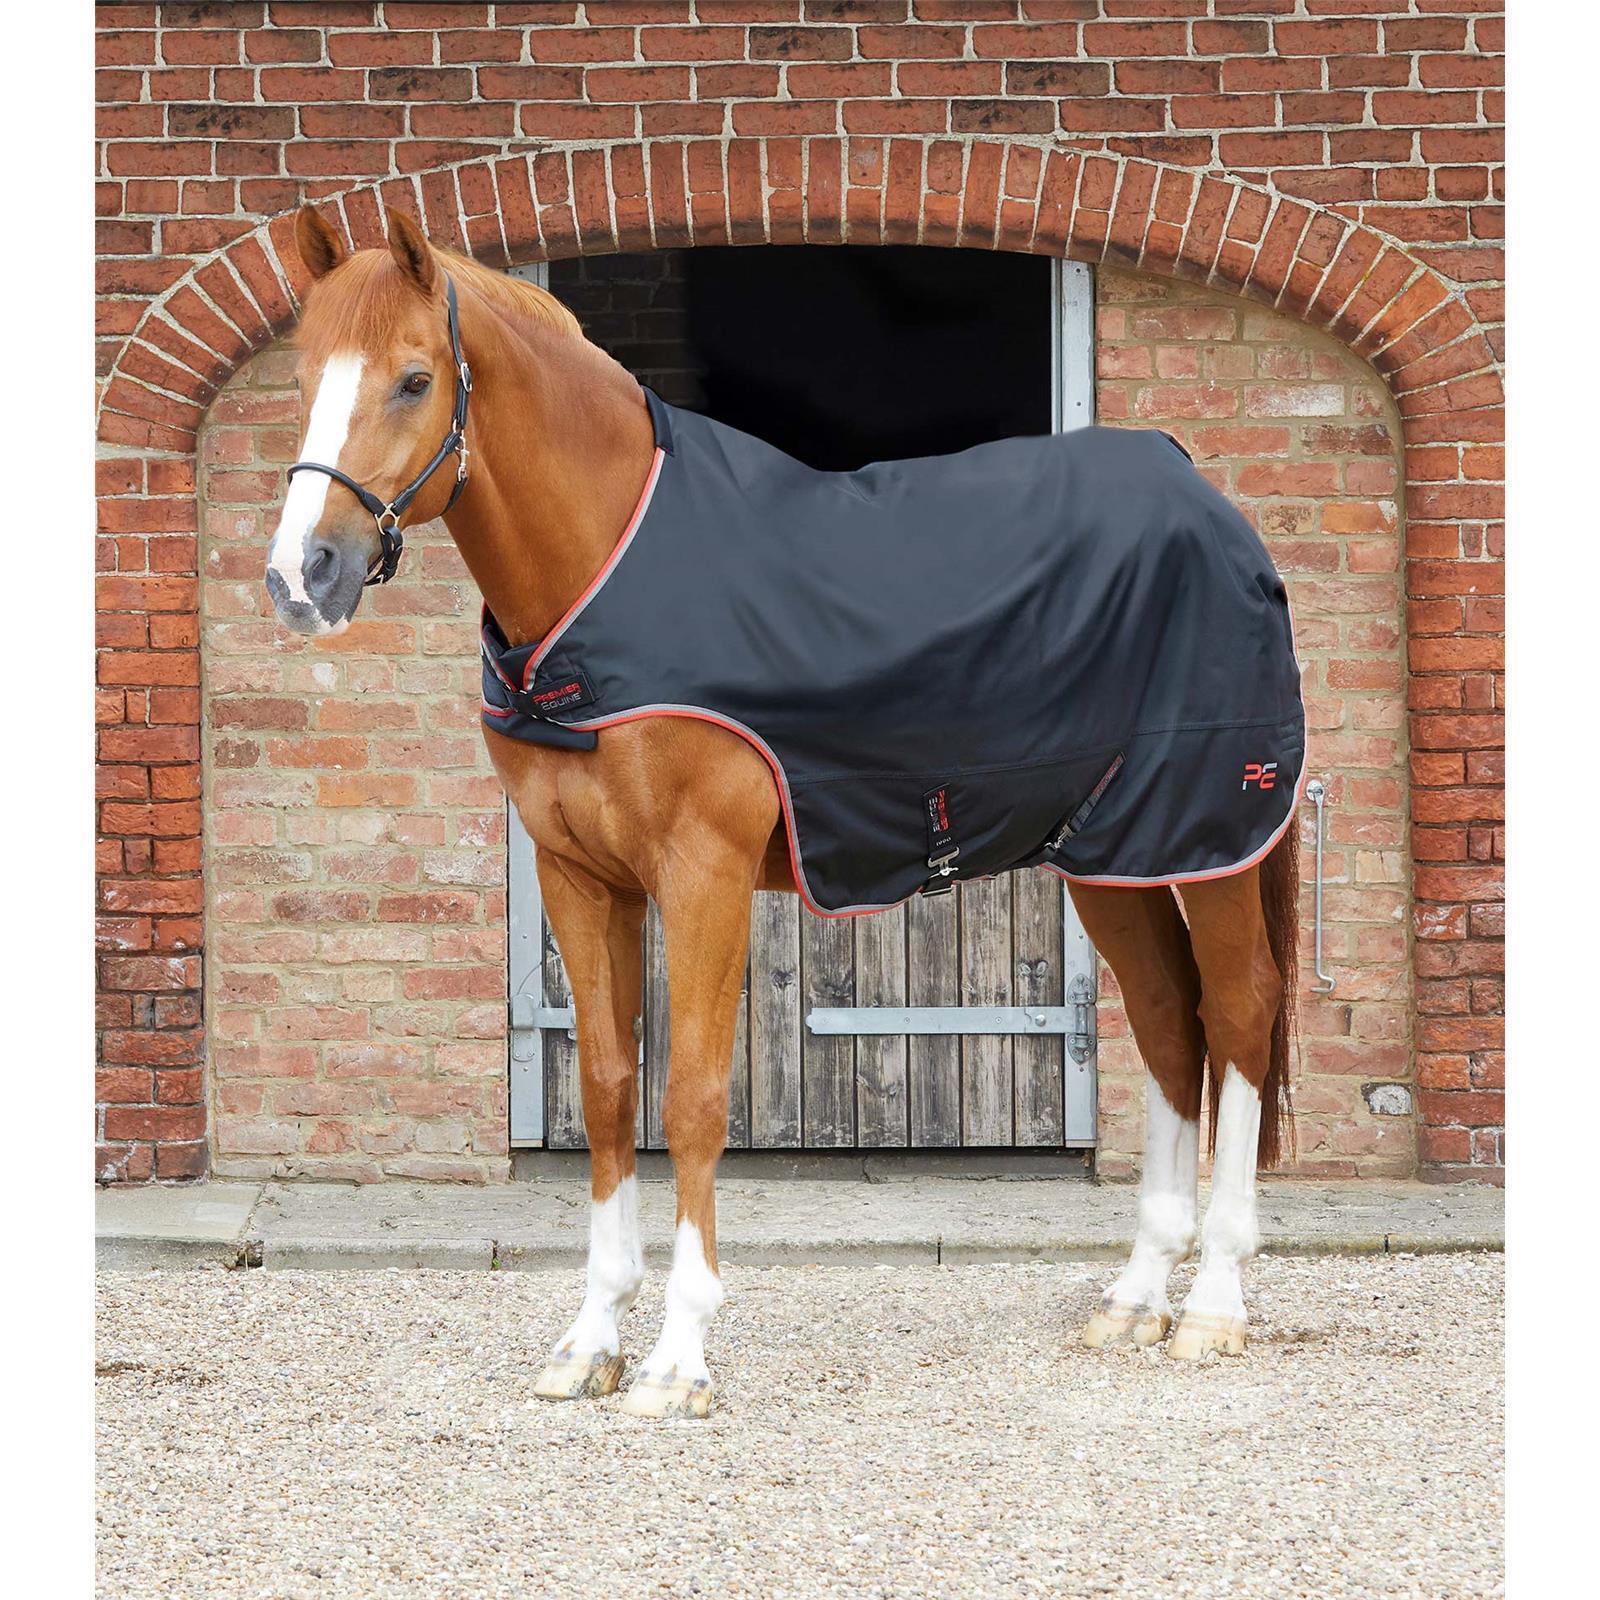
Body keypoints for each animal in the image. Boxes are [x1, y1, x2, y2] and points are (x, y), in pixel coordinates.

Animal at [265, 205, 1300, 1419]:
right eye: (303, 377)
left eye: (415, 378)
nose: (302, 576)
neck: (607, 572)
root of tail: (1205, 500)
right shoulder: (579, 874)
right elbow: (609, 1089)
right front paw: (590, 1341)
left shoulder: (702, 870)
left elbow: (694, 1098)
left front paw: (677, 1360)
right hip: (1110, 854)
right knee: (1170, 1021)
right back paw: (1137, 1298)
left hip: (1210, 835)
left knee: (1239, 1012)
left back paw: (1214, 1304)